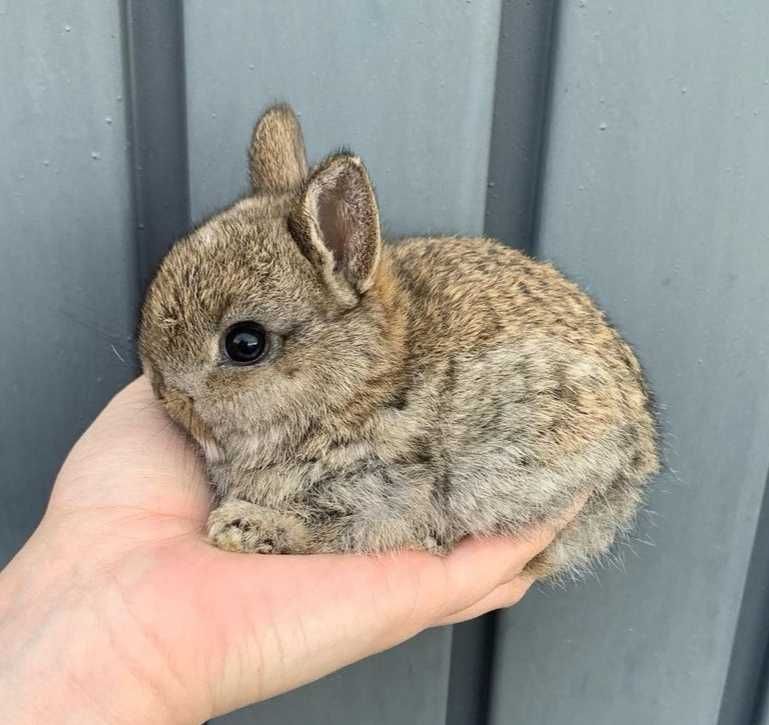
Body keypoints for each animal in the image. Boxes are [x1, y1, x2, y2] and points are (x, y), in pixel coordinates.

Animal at [136, 102, 656, 576]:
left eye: (245, 344)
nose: (165, 393)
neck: (360, 386)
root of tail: (639, 454)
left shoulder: (384, 487)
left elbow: (331, 526)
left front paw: (243, 526)